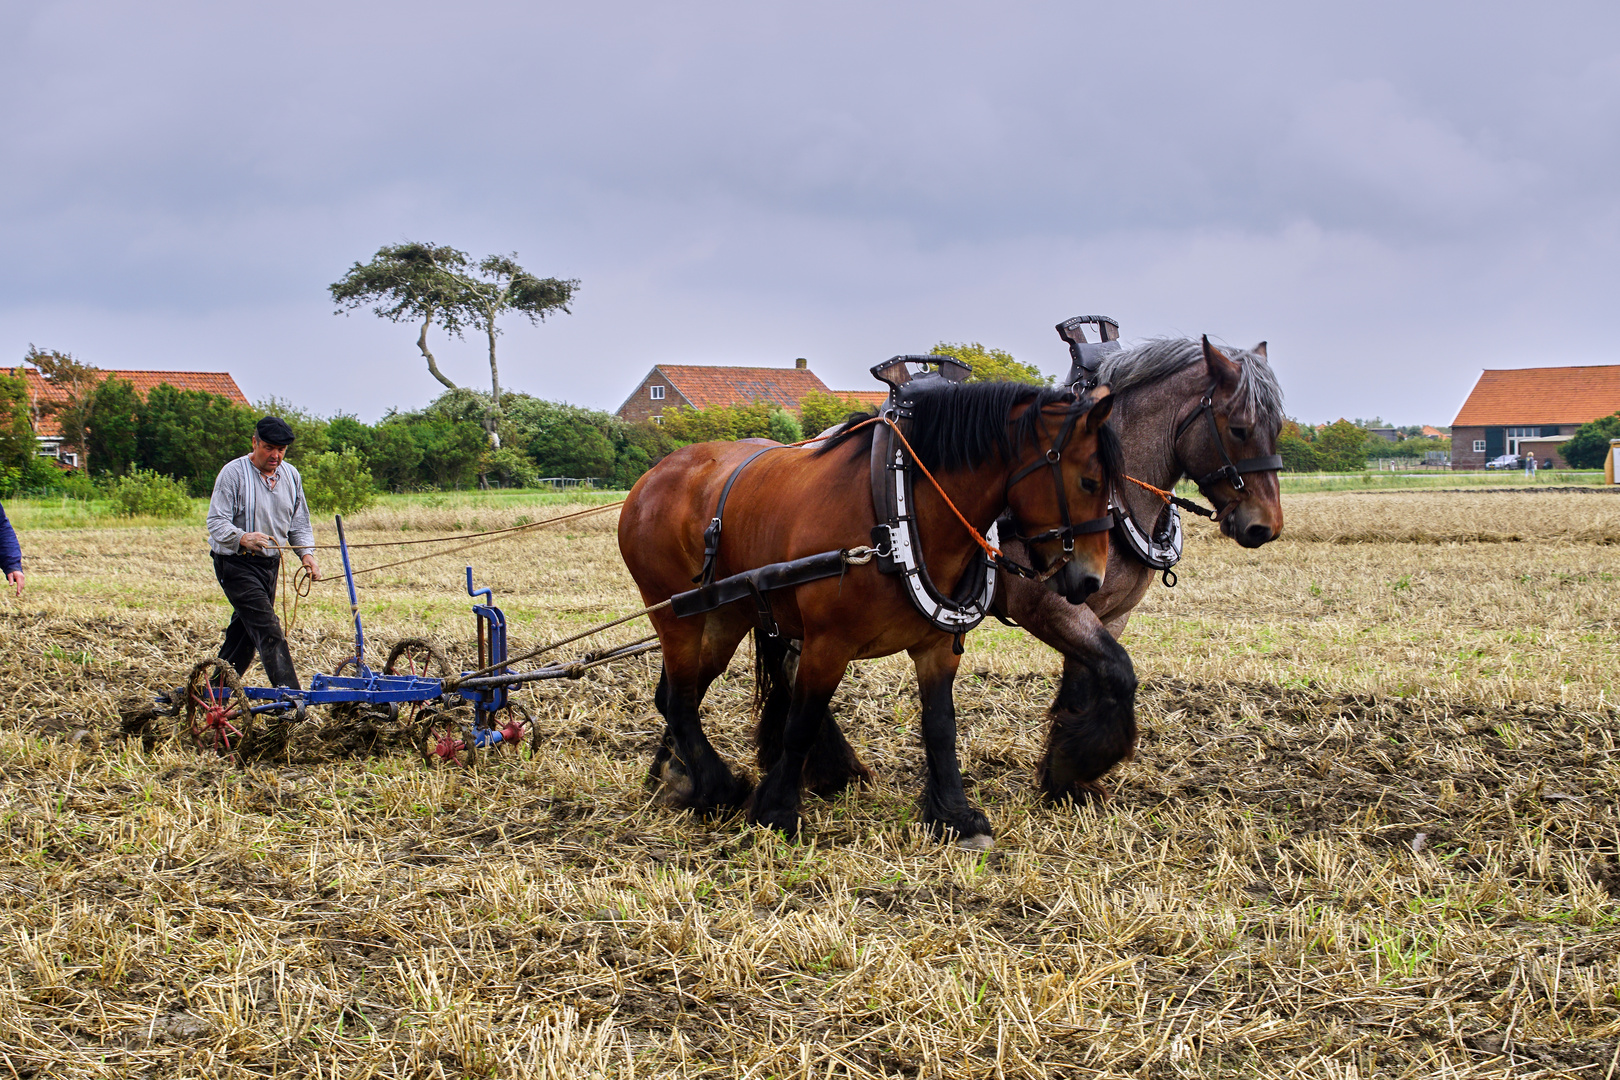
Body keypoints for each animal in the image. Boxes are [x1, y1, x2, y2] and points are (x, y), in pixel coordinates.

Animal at [622, 380, 1127, 841]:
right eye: (1089, 481)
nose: (1091, 580)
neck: (896, 518)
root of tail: (651, 477)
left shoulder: (937, 648)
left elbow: (941, 728)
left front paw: (956, 815)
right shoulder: (827, 646)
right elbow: (800, 724)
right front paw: (777, 812)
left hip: (724, 618)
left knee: (678, 695)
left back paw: (676, 777)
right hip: (676, 616)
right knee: (679, 699)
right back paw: (716, 787)